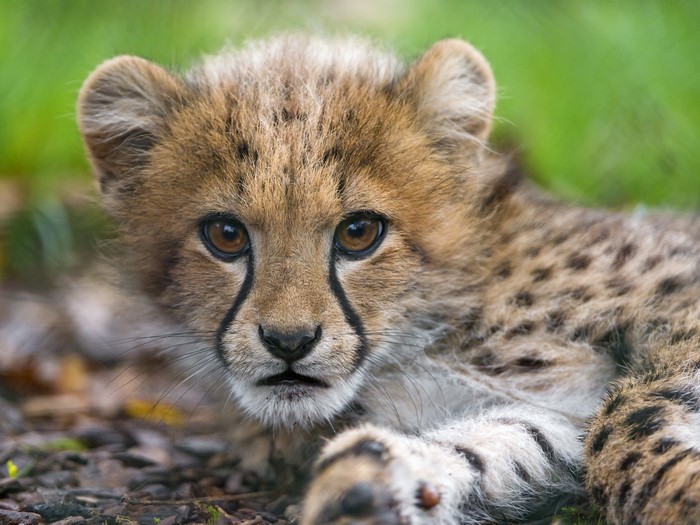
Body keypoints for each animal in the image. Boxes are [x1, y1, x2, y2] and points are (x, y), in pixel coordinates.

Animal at [77, 34, 700, 524]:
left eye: (359, 232)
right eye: (225, 234)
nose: (288, 342)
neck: (432, 324)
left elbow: (624, 419)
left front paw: (679, 499)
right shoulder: (550, 411)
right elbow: (509, 441)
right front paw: (369, 483)